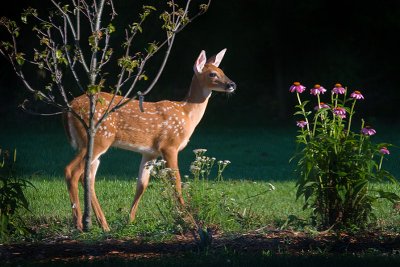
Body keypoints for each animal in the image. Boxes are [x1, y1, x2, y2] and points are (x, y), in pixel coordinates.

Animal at [64, 48, 236, 232]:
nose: (232, 85)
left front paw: (130, 220)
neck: (186, 114)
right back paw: (79, 224)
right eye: (212, 74)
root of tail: (70, 107)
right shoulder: (170, 145)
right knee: (71, 171)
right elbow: (176, 182)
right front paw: (188, 220)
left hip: (92, 145)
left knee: (87, 177)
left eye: (222, 71)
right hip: (97, 139)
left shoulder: (150, 152)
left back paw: (104, 225)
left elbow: (142, 184)